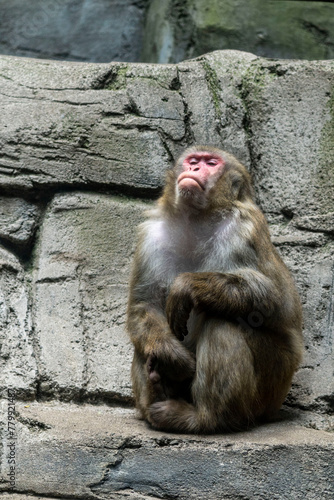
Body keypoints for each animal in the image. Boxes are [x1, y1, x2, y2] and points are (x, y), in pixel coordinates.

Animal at [126, 146, 304, 434]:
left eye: (211, 163)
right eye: (193, 161)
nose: (195, 169)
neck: (197, 221)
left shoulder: (245, 227)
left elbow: (275, 298)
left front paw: (185, 286)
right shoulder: (150, 237)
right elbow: (144, 304)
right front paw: (175, 358)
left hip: (273, 382)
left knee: (221, 321)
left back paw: (204, 418)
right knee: (146, 341)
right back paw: (159, 385)